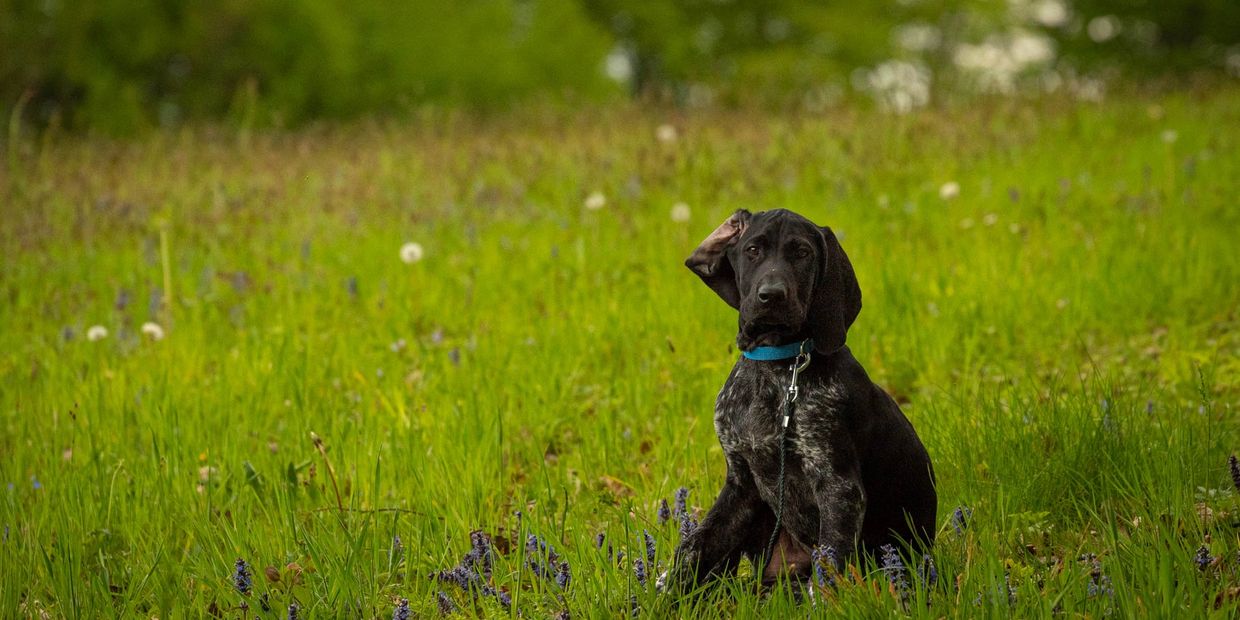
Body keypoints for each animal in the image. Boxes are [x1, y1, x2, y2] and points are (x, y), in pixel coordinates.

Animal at [664, 209, 932, 590]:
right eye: (753, 250)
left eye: (802, 253)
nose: (772, 295)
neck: (778, 366)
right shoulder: (741, 484)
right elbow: (694, 548)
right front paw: (658, 594)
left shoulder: (839, 488)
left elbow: (829, 570)